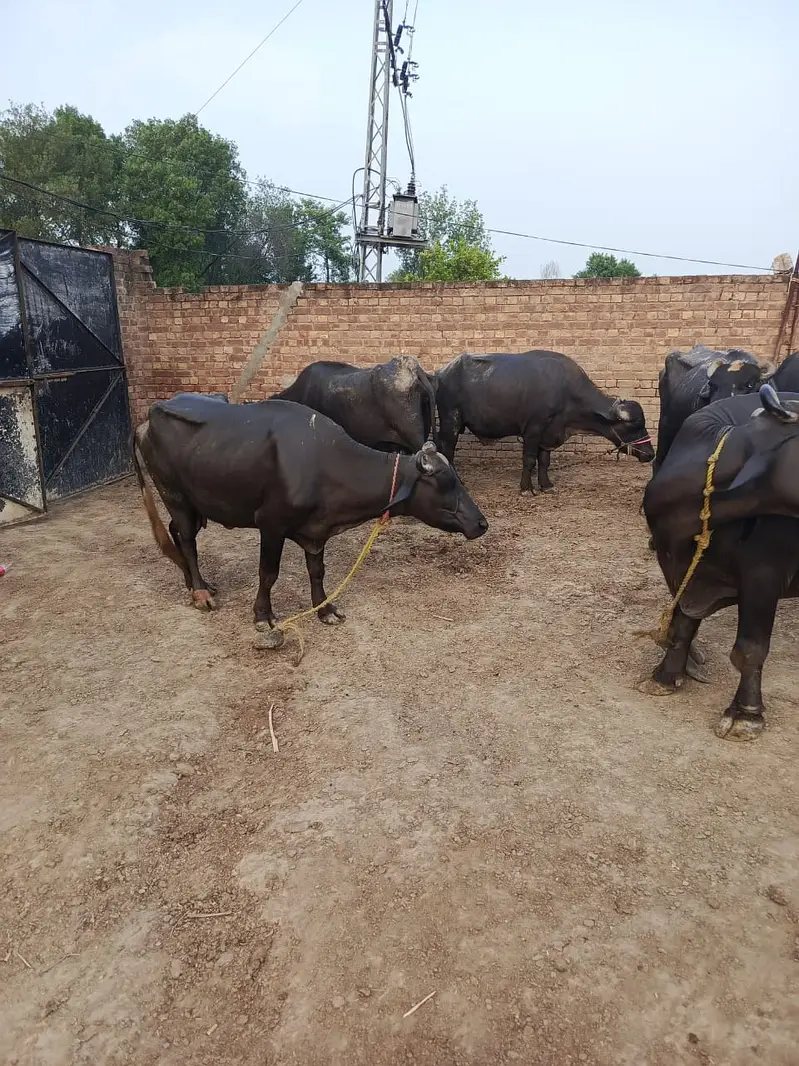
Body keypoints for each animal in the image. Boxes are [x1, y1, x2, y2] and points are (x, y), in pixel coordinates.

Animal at [132, 394, 487, 649]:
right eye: (446, 483)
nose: (482, 524)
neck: (323, 464)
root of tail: (148, 418)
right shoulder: (271, 524)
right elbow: (268, 573)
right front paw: (263, 615)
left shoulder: (316, 532)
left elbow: (317, 571)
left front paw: (325, 609)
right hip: (174, 495)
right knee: (188, 540)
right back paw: (201, 593)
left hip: (193, 504)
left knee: (178, 534)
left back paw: (196, 583)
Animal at [434, 350, 654, 493]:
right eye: (634, 425)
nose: (650, 454)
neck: (566, 393)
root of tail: (441, 372)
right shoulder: (533, 429)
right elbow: (530, 459)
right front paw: (526, 488)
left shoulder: (548, 433)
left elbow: (545, 461)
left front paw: (546, 485)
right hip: (451, 421)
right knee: (447, 451)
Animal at [643, 383, 799, 741]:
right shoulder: (684, 570)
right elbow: (682, 625)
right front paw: (664, 677)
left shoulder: (764, 575)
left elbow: (750, 649)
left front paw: (745, 715)